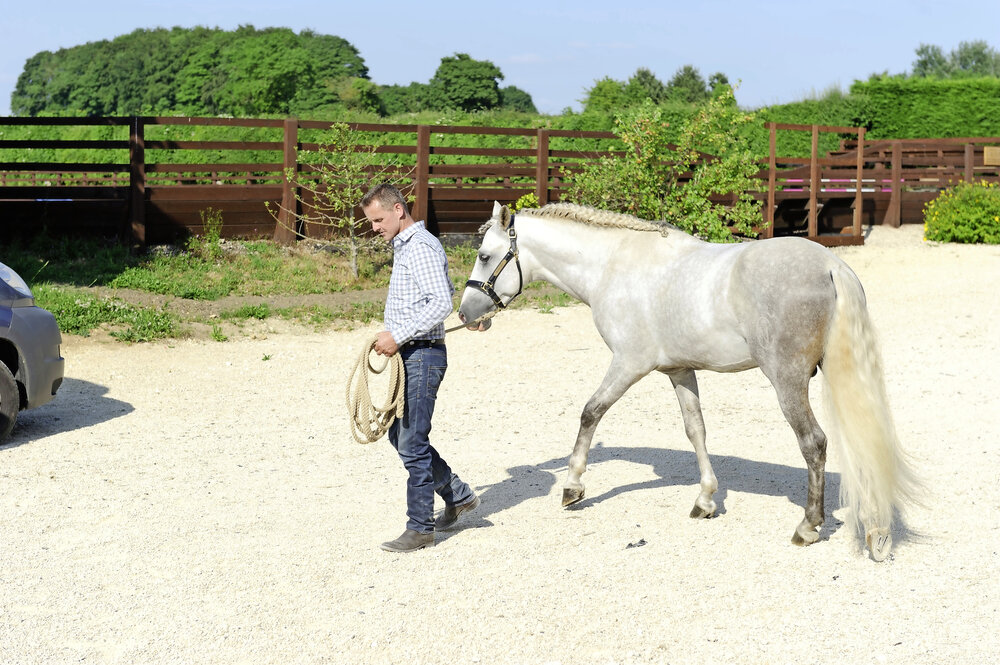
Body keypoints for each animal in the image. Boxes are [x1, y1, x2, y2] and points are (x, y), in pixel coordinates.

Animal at [458, 201, 919, 561]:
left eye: (484, 255)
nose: (465, 315)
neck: (612, 266)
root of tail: (831, 264)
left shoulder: (629, 364)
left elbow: (591, 412)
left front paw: (572, 487)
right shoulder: (679, 370)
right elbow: (695, 430)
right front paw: (705, 500)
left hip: (787, 381)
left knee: (814, 444)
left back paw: (808, 527)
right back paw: (876, 530)